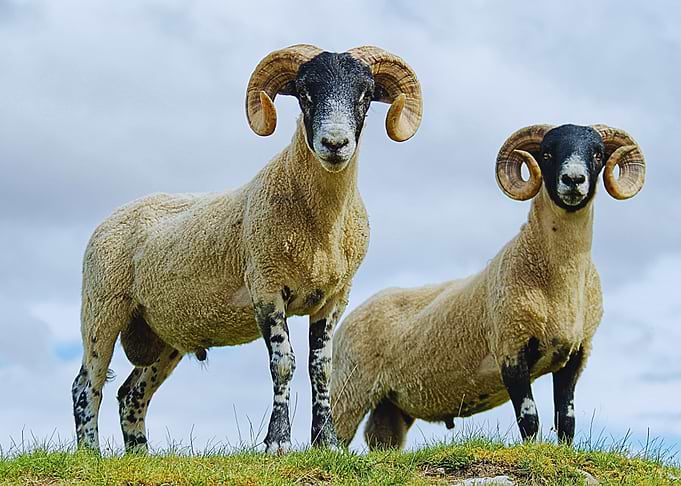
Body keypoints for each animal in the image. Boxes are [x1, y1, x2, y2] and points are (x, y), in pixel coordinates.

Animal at [71, 44, 422, 454]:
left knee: (131, 395)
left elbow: (321, 369)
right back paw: (91, 453)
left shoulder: (335, 297)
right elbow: (284, 363)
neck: (320, 229)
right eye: (304, 92)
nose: (335, 144)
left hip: (164, 333)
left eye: (365, 94)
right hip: (102, 308)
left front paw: (327, 443)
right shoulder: (266, 286)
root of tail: (112, 216)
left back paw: (140, 456)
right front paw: (278, 442)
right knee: (87, 384)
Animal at [330, 124, 645, 449]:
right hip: (349, 388)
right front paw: (530, 451)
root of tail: (351, 316)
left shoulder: (575, 354)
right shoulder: (510, 346)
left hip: (390, 404)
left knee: (382, 440)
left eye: (597, 154)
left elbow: (566, 420)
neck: (558, 282)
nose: (573, 179)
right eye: (547, 153)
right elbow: (529, 419)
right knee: (330, 436)